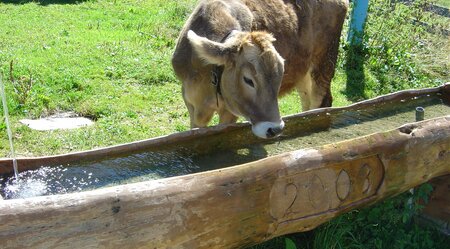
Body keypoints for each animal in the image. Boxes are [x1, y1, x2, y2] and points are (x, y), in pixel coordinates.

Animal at [171, 0, 348, 138]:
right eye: (248, 80)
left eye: (280, 75)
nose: (275, 129)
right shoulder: (191, 102)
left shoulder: (230, 111)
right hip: (304, 72)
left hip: (324, 62)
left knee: (322, 100)